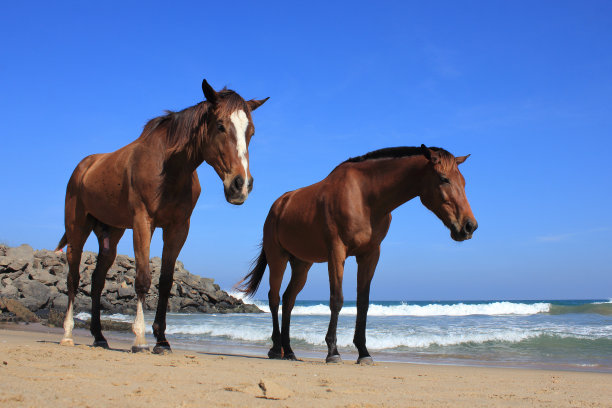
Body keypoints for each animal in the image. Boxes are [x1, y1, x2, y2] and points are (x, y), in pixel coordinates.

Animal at [54, 79, 268, 354]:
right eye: (220, 126)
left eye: (250, 132)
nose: (241, 185)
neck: (169, 168)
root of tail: (84, 167)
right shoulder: (143, 223)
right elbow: (143, 278)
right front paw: (139, 338)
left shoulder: (178, 228)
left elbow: (166, 282)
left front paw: (162, 340)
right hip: (77, 228)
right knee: (73, 278)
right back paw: (68, 333)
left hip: (111, 234)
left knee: (97, 281)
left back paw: (99, 337)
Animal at [239, 145, 478, 364]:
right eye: (444, 179)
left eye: (464, 182)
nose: (469, 226)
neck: (365, 197)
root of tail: (278, 205)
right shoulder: (337, 252)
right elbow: (337, 299)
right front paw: (333, 352)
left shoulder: (370, 255)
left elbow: (363, 303)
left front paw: (364, 352)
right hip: (277, 258)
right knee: (274, 298)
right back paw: (275, 349)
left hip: (302, 264)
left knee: (289, 300)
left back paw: (289, 351)